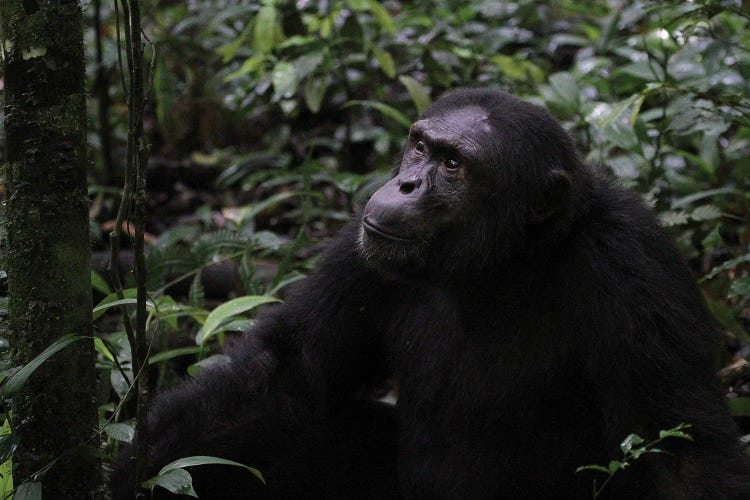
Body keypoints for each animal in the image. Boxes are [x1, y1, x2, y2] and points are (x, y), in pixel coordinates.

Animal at [111, 91, 750, 500]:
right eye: (420, 146)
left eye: (454, 163)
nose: (407, 183)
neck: (497, 267)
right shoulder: (361, 249)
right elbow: (284, 371)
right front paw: (136, 471)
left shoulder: (632, 264)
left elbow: (680, 455)